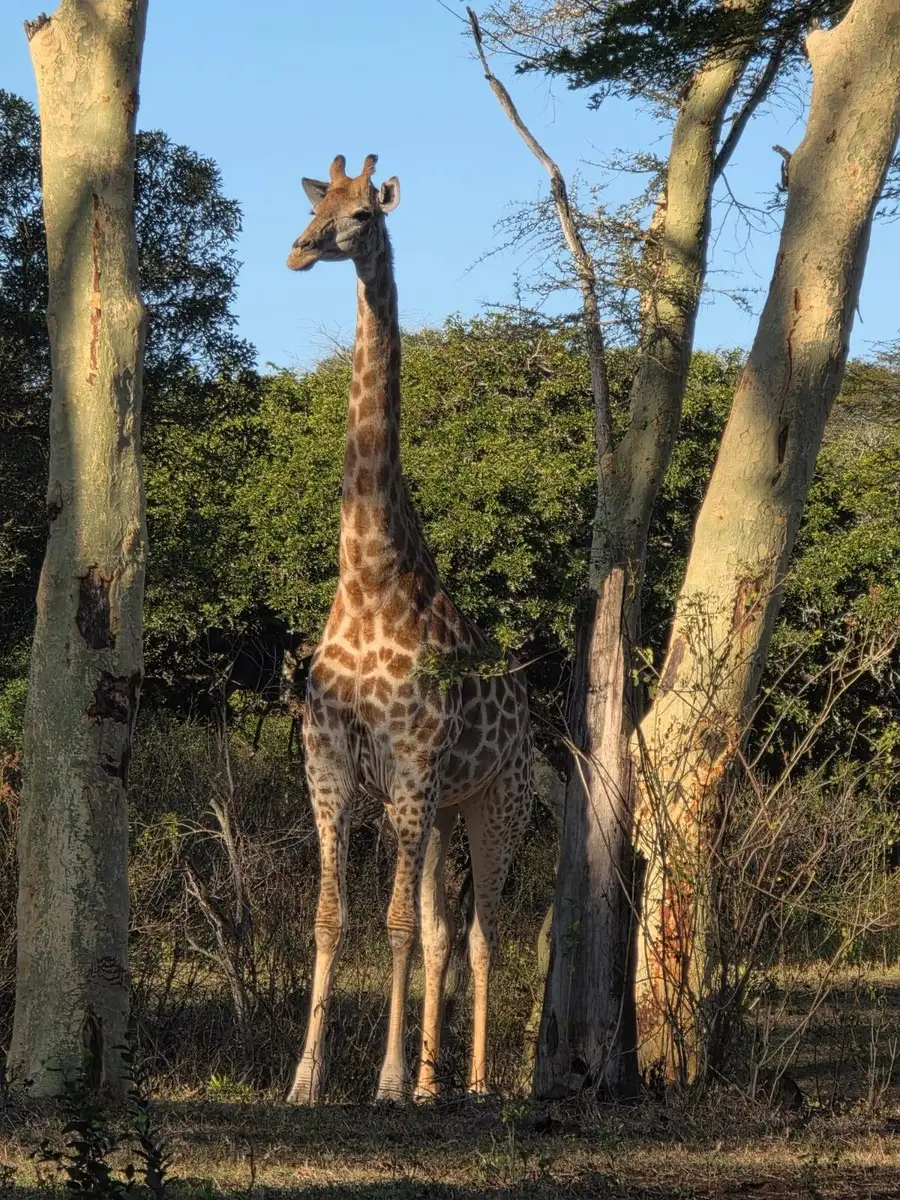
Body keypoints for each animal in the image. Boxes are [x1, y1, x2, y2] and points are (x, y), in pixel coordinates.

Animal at [284, 154, 533, 1105]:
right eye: (314, 203)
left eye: (361, 214)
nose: (298, 250)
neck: (366, 577)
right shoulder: (330, 763)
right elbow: (331, 919)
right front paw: (307, 1080)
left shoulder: (410, 762)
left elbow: (388, 924)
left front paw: (383, 1081)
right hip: (441, 805)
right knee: (439, 931)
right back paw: (432, 1083)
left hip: (497, 800)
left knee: (483, 932)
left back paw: (472, 1084)